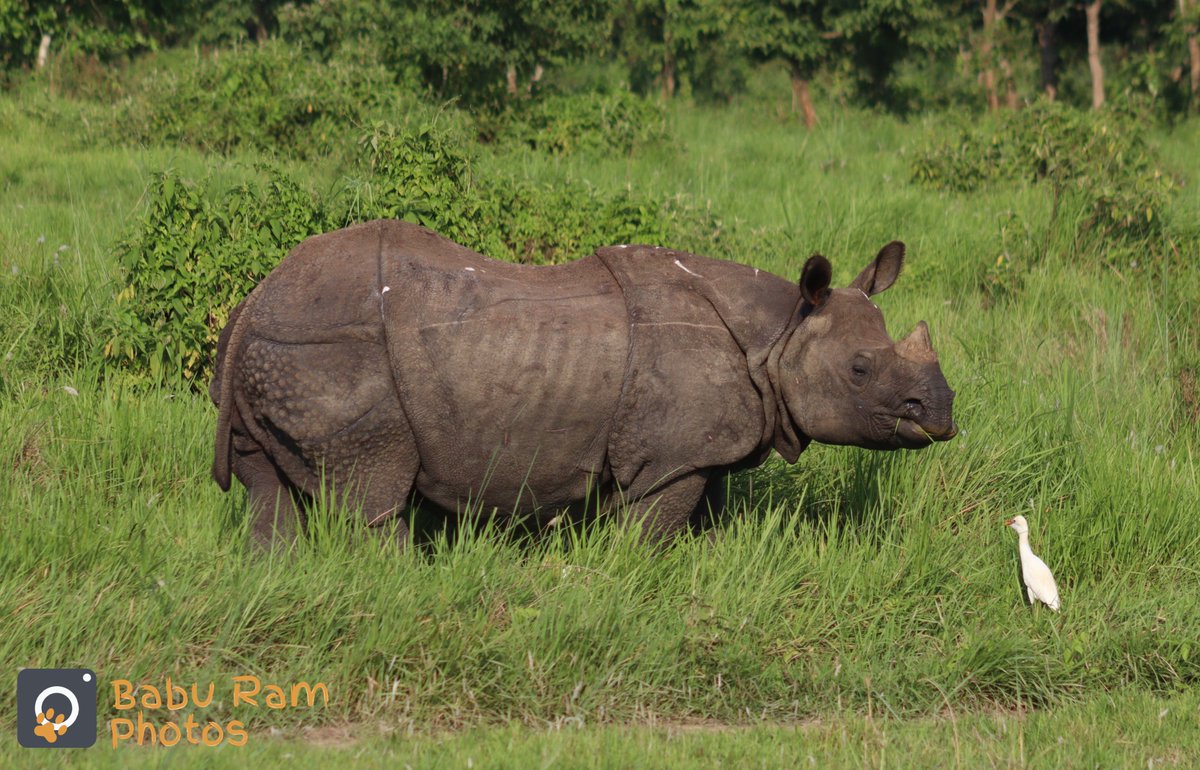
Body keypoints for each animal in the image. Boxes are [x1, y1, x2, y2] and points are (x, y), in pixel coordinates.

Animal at [210, 219, 956, 545]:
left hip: (280, 352)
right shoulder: (669, 458)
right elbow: (649, 534)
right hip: (334, 353)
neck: (781, 333)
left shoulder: (699, 448)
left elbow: (709, 518)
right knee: (373, 492)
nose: (941, 412)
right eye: (860, 371)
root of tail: (256, 298)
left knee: (267, 487)